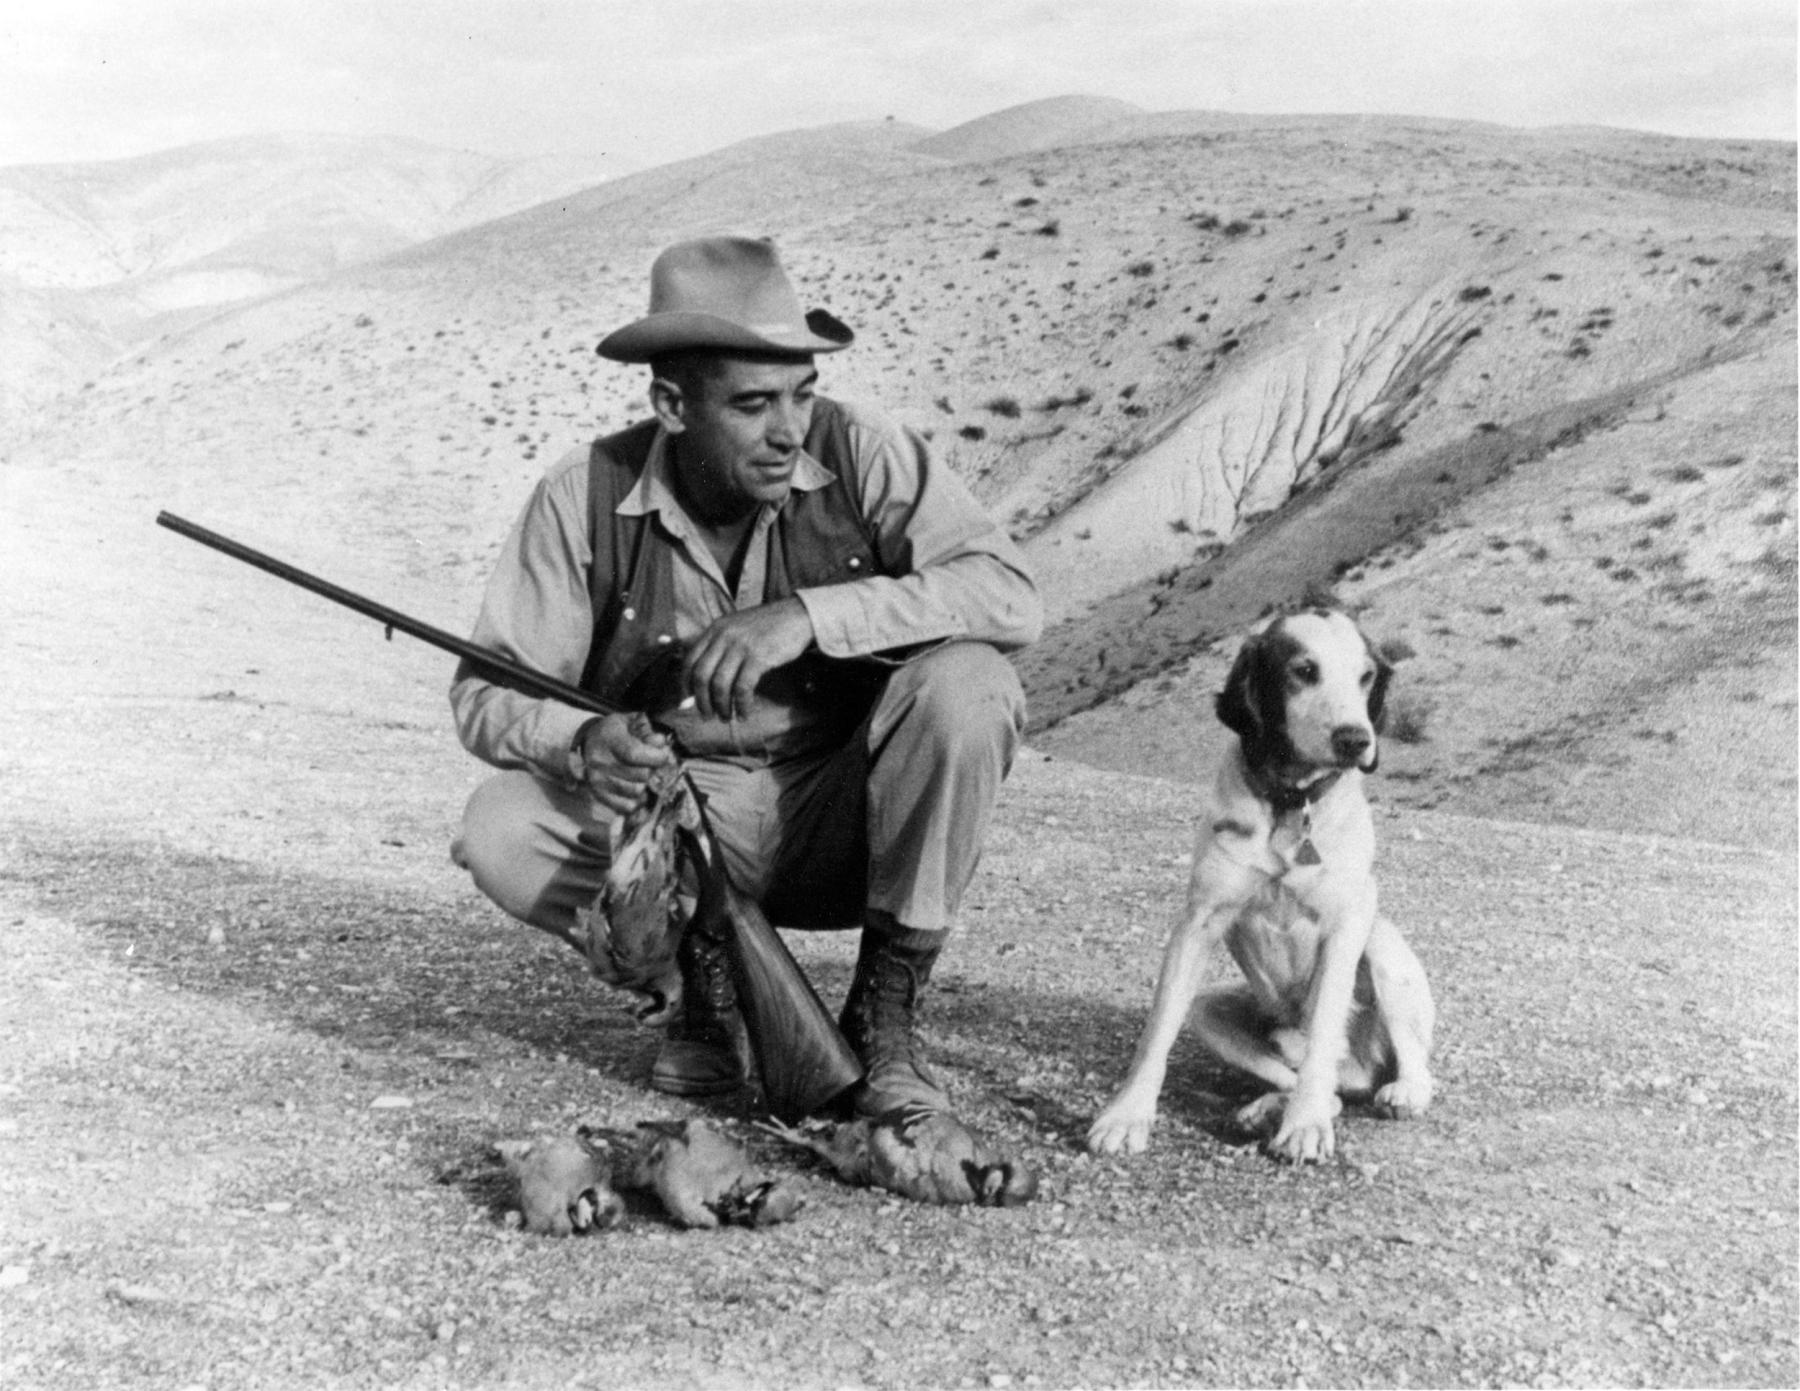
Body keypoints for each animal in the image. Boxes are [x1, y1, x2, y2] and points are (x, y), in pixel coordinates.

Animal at [1080, 608, 1432, 1158]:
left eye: (1366, 676)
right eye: (1303, 671)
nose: (1356, 740)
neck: (1290, 803)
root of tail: (1361, 1072)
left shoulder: (1346, 926)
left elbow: (1323, 1029)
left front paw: (1304, 1126)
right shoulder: (1197, 924)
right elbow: (1156, 1032)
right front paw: (1127, 1115)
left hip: (1380, 946)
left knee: (1401, 1064)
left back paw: (1403, 1091)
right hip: (1210, 1012)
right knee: (1322, 1087)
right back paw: (1266, 1109)